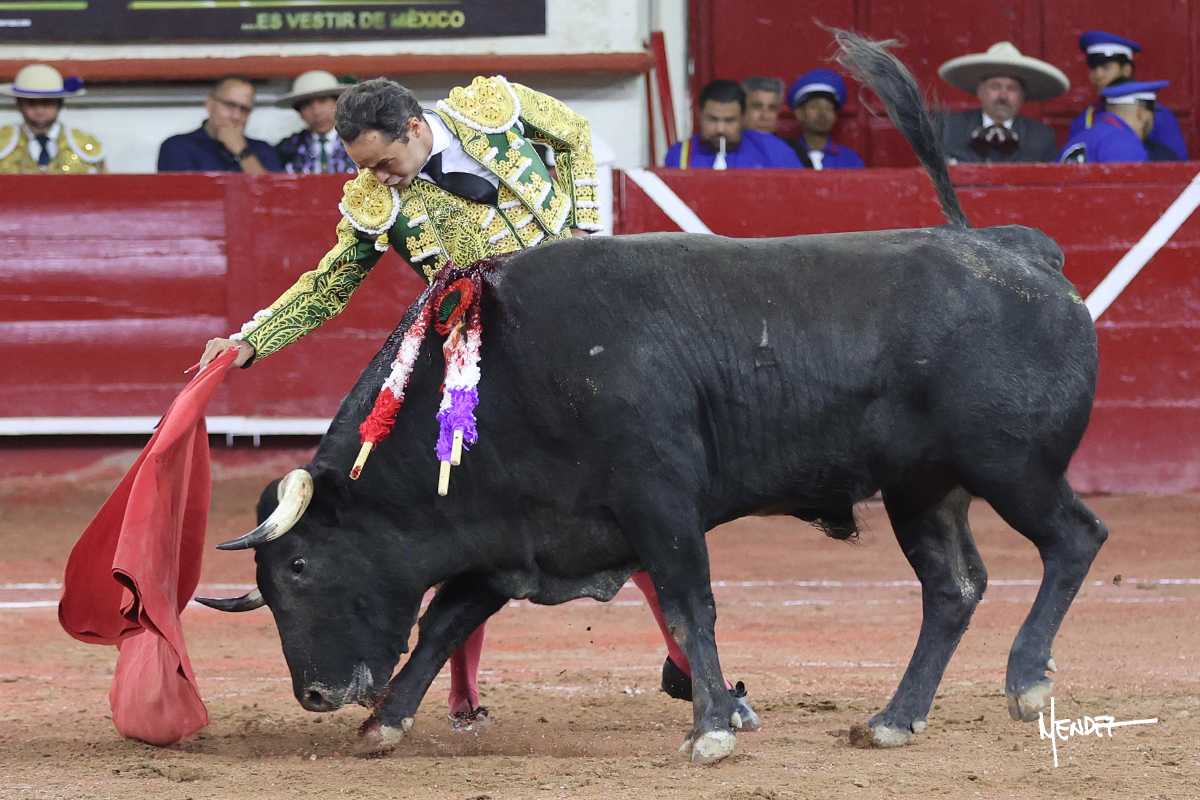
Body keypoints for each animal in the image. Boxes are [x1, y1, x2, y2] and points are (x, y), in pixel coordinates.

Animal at [199, 30, 1107, 764]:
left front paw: (709, 729)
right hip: (923, 486)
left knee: (1074, 538)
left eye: (301, 566)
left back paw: (1025, 680)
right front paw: (382, 724)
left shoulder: (660, 501)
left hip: (1011, 464)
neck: (516, 377)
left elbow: (689, 602)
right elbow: (443, 622)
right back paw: (892, 719)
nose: (314, 694)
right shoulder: (515, 534)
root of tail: (1019, 248)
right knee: (950, 590)